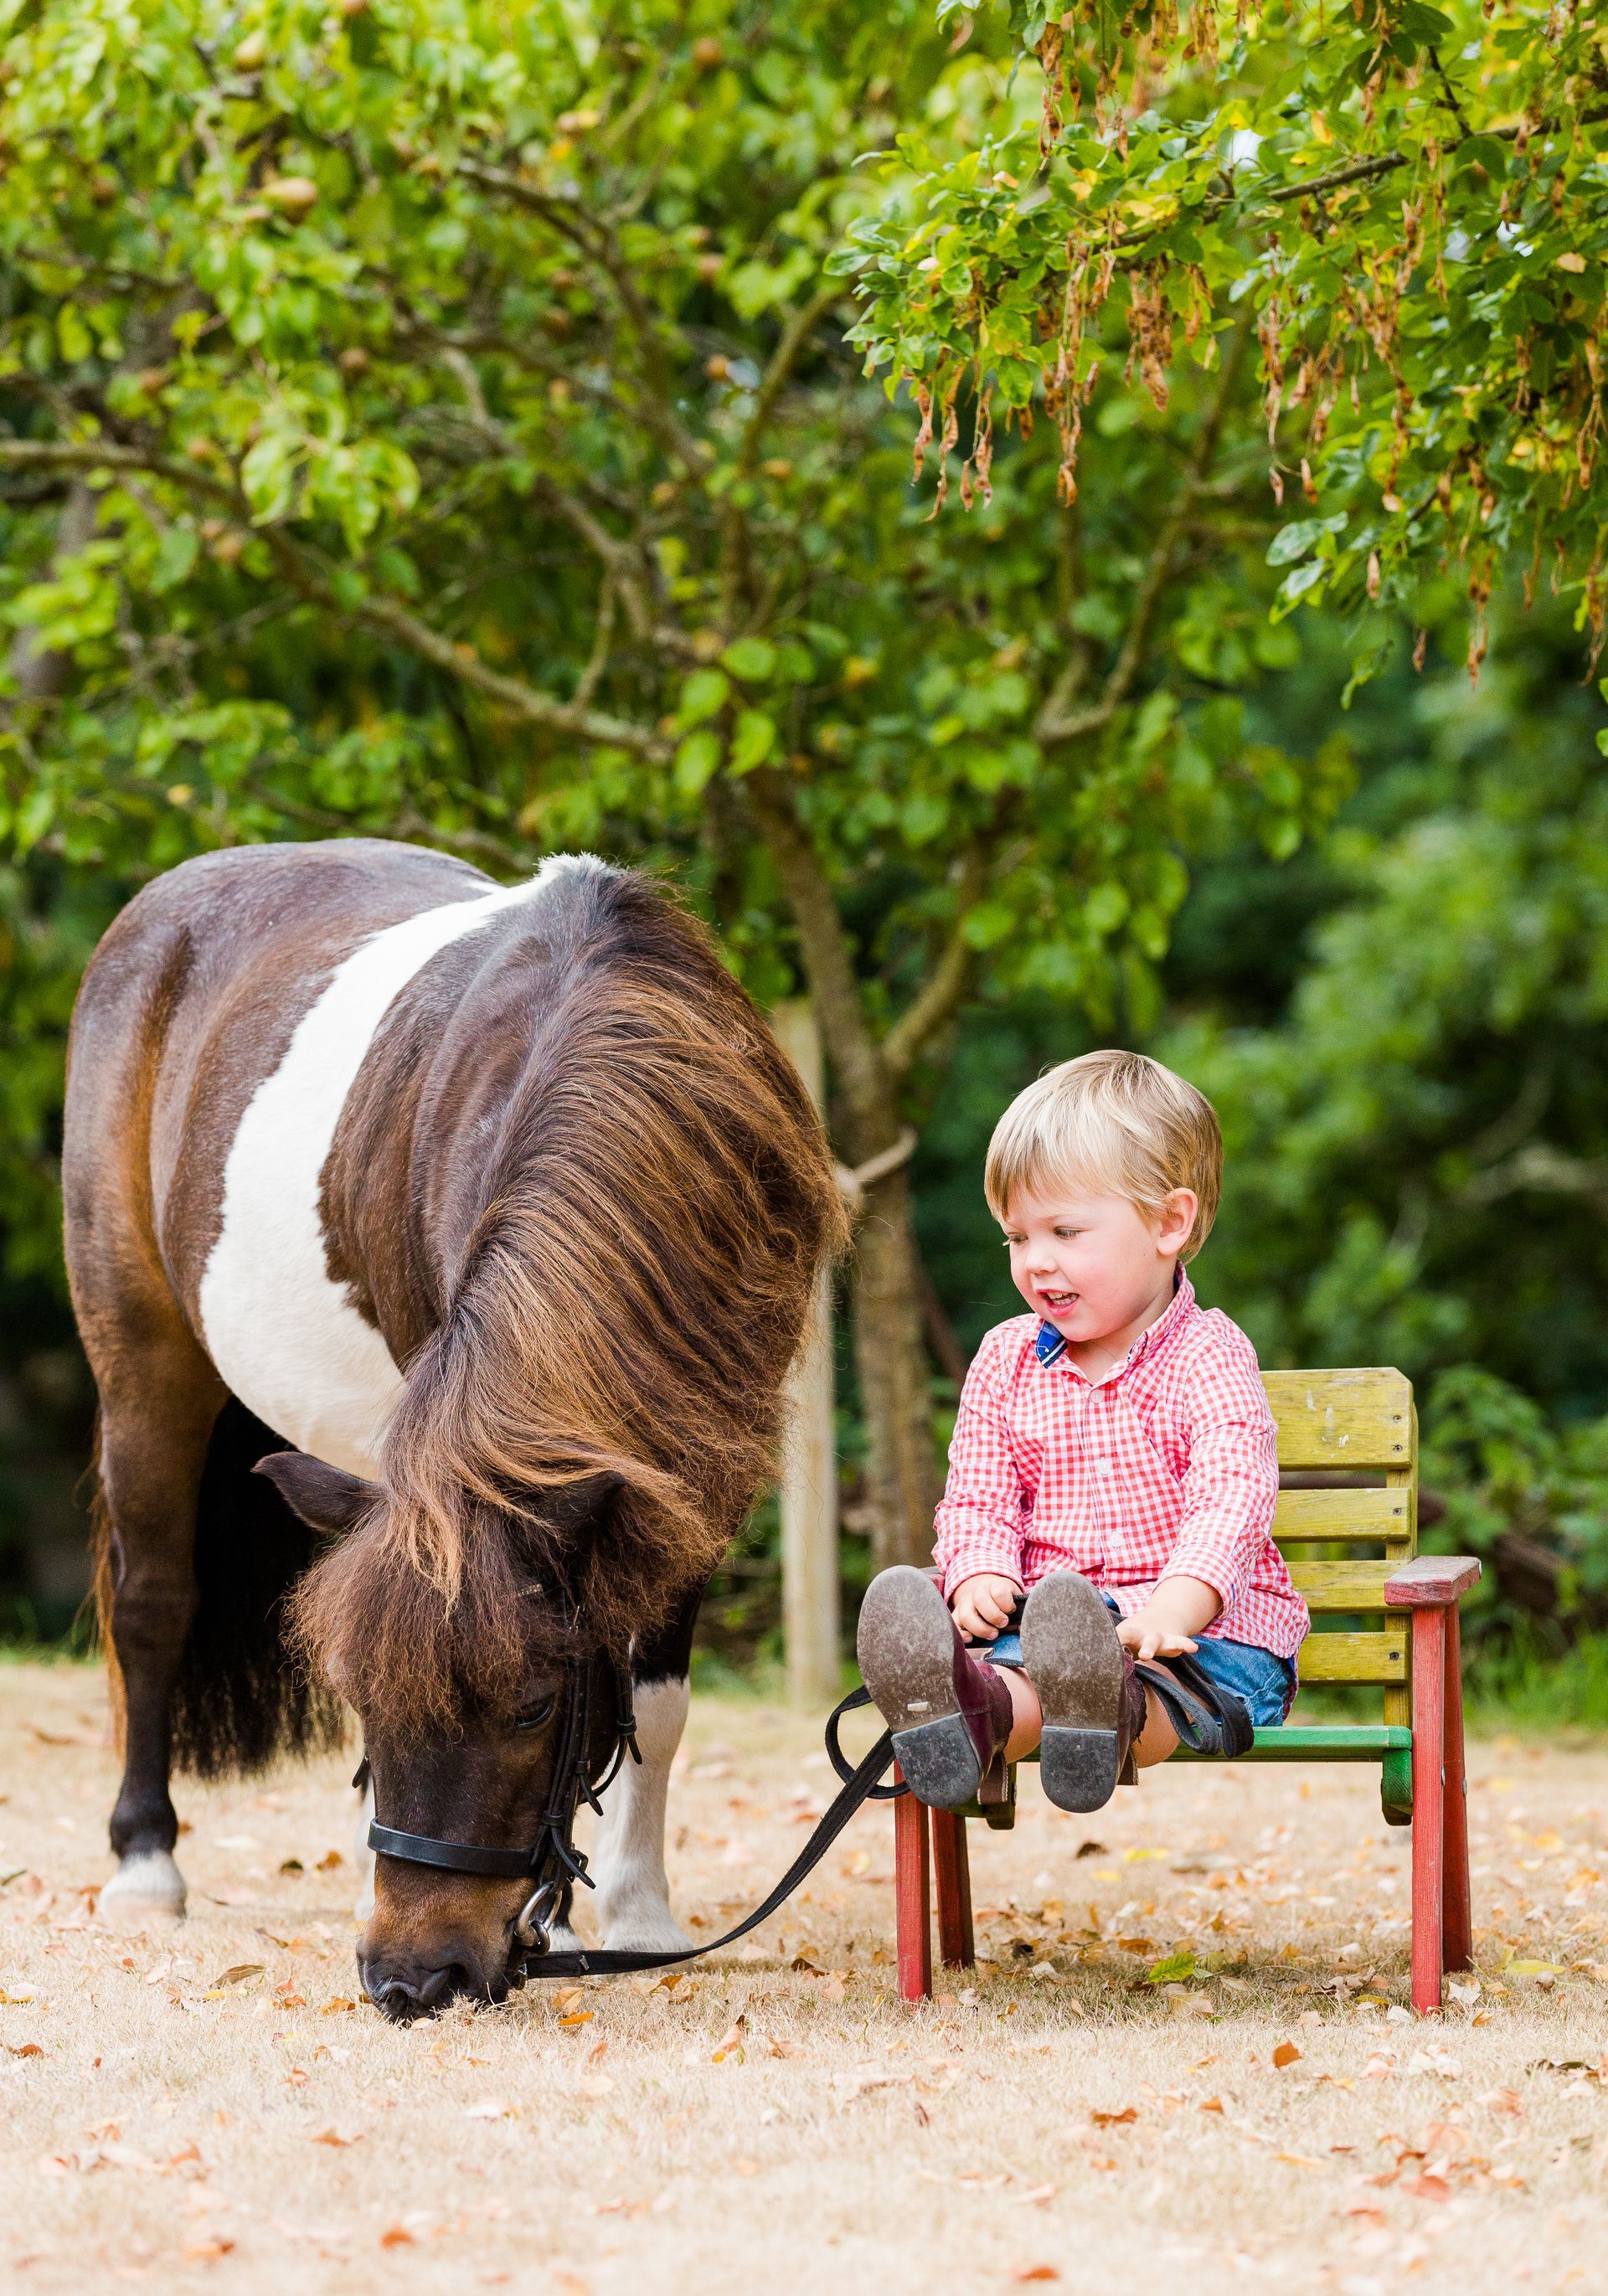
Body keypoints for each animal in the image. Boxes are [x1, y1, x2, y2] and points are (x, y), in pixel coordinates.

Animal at [63, 840, 844, 2017]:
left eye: (531, 1709)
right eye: (365, 1701)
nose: (411, 1978)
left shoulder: (698, 1468)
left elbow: (653, 1701)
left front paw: (634, 1916)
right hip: (144, 1357)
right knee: (154, 1603)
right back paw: (147, 1867)